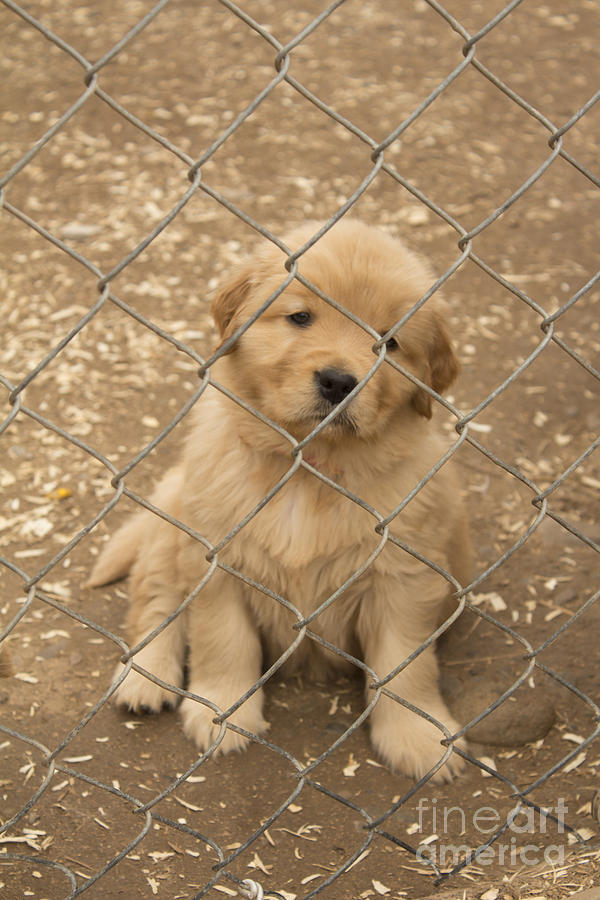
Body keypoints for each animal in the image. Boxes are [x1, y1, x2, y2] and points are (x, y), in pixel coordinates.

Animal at [90, 218, 474, 780]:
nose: (338, 381)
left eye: (391, 344)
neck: (307, 469)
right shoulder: (215, 562)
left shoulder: (404, 576)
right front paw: (222, 711)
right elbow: (223, 641)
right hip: (171, 522)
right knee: (155, 604)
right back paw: (146, 676)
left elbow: (405, 665)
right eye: (300, 317)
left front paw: (419, 736)